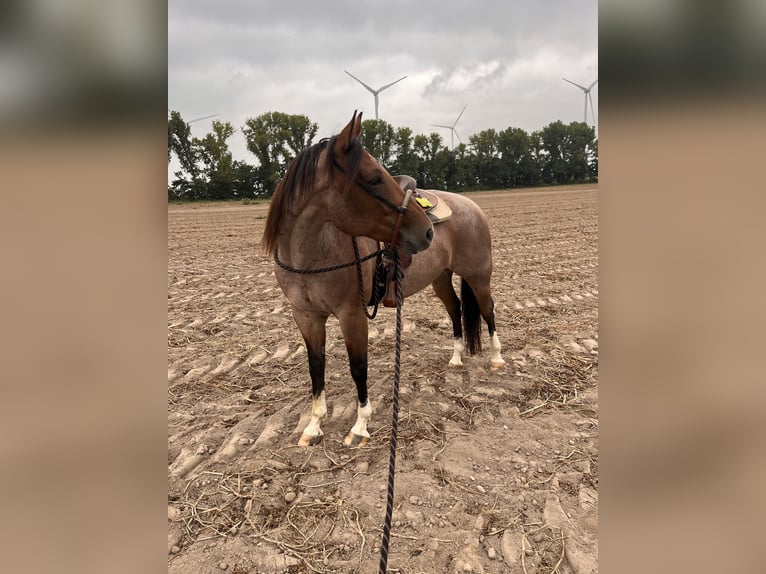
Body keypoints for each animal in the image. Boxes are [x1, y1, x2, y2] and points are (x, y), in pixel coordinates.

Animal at [261, 111, 505, 448]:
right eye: (375, 178)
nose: (427, 231)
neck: (311, 254)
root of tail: (472, 206)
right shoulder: (306, 316)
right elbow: (316, 367)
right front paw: (314, 425)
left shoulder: (352, 314)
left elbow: (358, 367)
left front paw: (360, 425)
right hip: (441, 278)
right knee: (455, 309)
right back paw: (456, 358)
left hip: (478, 275)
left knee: (487, 309)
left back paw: (497, 358)